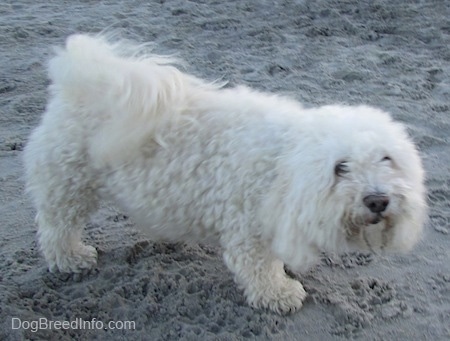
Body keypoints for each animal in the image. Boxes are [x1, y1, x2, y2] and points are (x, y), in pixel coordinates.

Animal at [23, 34, 426, 314]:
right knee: (57, 226)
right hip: (69, 183)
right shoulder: (248, 230)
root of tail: (81, 79)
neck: (285, 163)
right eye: (340, 168)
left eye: (387, 159)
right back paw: (71, 258)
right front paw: (280, 294)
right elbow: (259, 269)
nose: (377, 200)